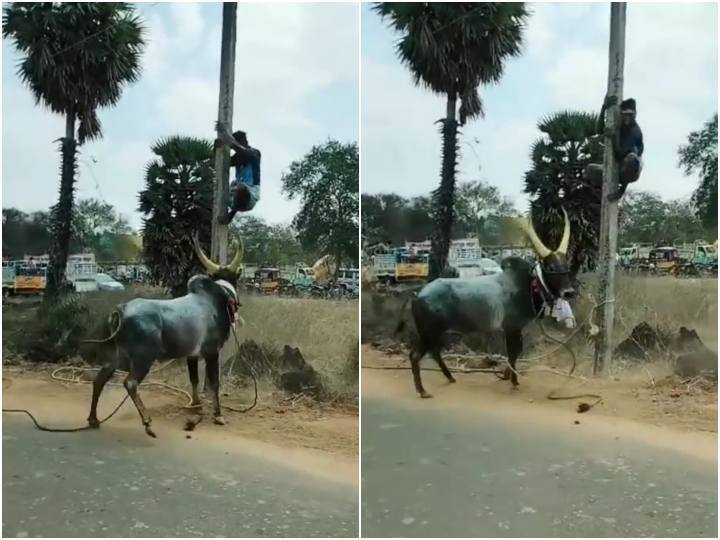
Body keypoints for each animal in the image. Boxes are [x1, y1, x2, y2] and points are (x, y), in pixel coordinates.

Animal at [84, 234, 245, 436]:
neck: (219, 297)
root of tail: (121, 309)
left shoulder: (192, 355)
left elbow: (194, 380)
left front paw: (196, 406)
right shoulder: (212, 352)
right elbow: (214, 383)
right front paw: (218, 415)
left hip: (116, 357)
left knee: (99, 380)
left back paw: (93, 419)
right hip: (143, 357)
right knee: (130, 383)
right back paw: (147, 422)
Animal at [396, 210, 576, 396]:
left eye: (566, 265)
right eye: (550, 267)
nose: (569, 292)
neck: (528, 284)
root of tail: (418, 294)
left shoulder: (516, 329)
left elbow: (516, 353)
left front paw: (507, 375)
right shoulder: (511, 328)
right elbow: (513, 353)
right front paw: (513, 381)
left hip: (435, 333)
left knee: (434, 353)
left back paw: (450, 377)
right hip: (429, 332)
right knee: (416, 355)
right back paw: (422, 390)